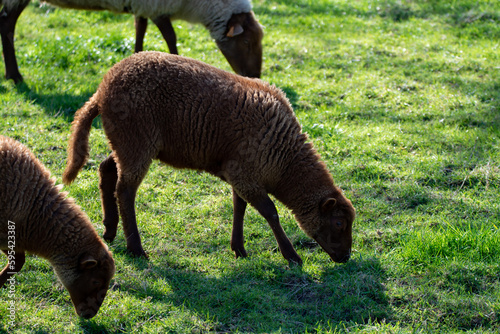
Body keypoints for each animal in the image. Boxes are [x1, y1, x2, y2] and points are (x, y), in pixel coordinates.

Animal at [63, 51, 356, 266]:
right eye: (339, 223)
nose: (345, 258)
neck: (284, 162)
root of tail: (101, 92)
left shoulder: (238, 173)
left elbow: (240, 207)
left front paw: (239, 249)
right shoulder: (245, 174)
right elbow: (270, 212)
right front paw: (292, 256)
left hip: (127, 142)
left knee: (107, 170)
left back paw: (110, 231)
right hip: (137, 141)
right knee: (125, 191)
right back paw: (136, 248)